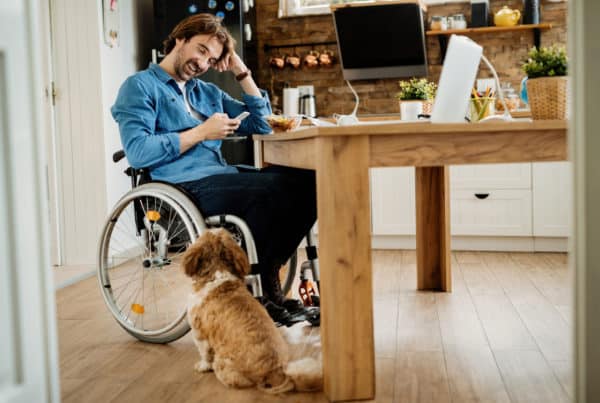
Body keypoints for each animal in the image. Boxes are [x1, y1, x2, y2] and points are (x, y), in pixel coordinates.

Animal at [183, 230, 324, 394]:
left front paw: (203, 366)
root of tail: (276, 372)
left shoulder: (199, 333)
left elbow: (205, 354)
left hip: (222, 363)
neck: (217, 274)